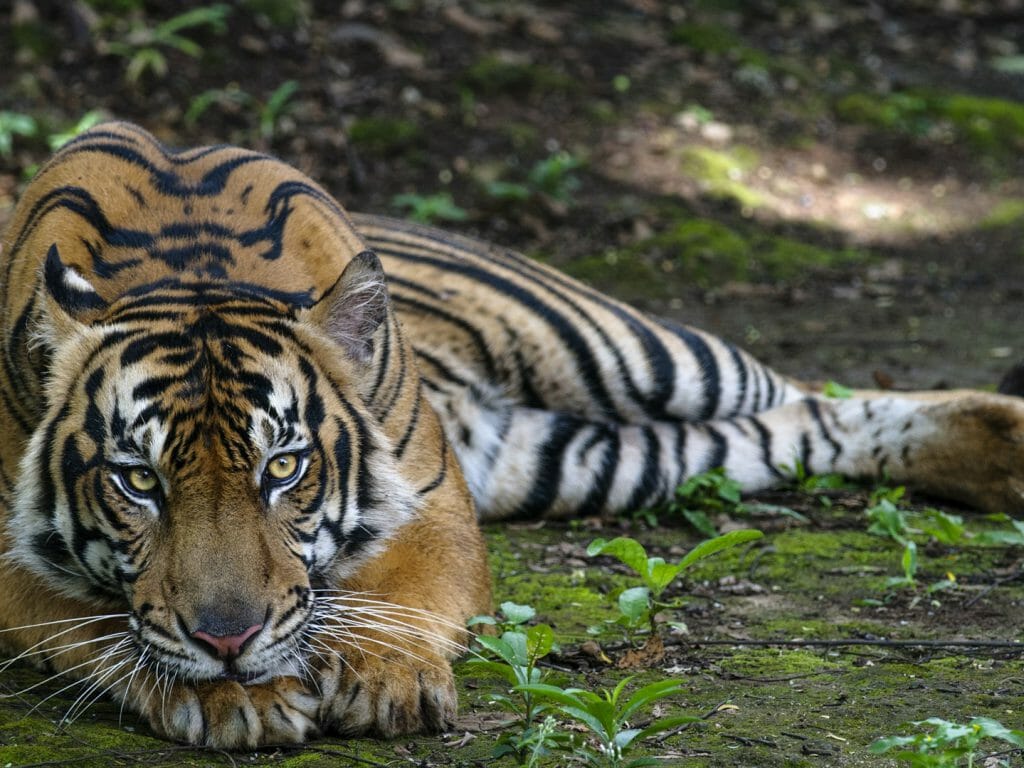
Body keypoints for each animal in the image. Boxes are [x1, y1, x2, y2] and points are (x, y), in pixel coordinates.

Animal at [1, 121, 1023, 748]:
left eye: (283, 468)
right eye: (138, 481)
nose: (228, 641)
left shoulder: (433, 506)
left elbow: (406, 596)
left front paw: (383, 675)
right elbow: (105, 625)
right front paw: (229, 690)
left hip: (633, 352)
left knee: (814, 393)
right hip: (592, 459)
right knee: (793, 430)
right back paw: (1003, 462)